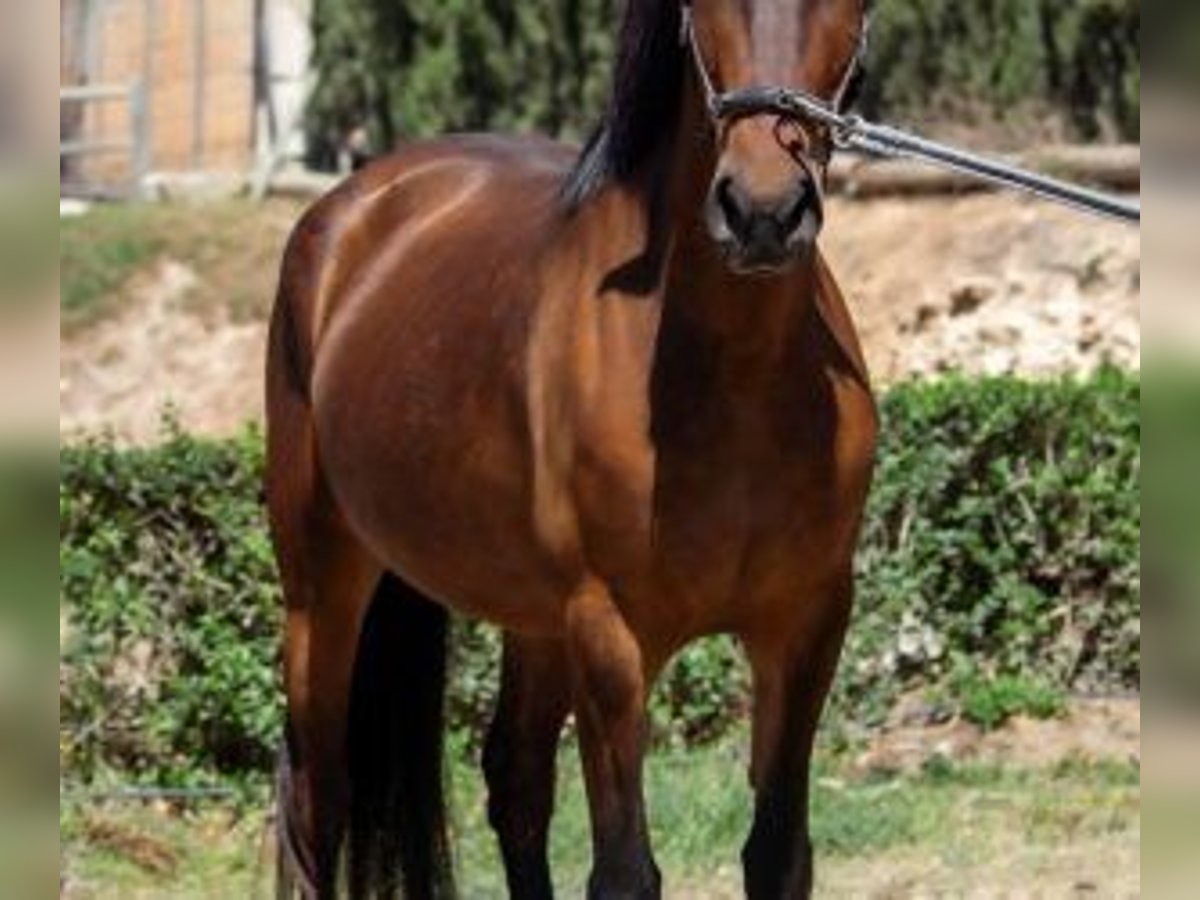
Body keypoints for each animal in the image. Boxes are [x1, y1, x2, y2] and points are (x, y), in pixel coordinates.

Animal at [267, 1, 878, 900]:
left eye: (854, 8)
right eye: (702, 9)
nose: (763, 211)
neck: (731, 372)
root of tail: (347, 211)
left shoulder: (808, 621)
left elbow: (777, 853)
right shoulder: (608, 633)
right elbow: (624, 870)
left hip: (536, 620)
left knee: (515, 780)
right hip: (322, 590)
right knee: (319, 800)